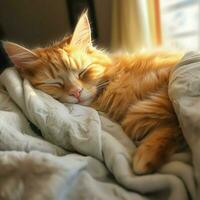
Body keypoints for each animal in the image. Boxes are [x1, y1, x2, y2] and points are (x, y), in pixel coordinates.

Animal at [2, 13, 184, 174]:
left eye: (83, 72)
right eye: (55, 83)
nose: (76, 92)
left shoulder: (166, 79)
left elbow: (167, 117)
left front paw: (146, 154)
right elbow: (170, 122)